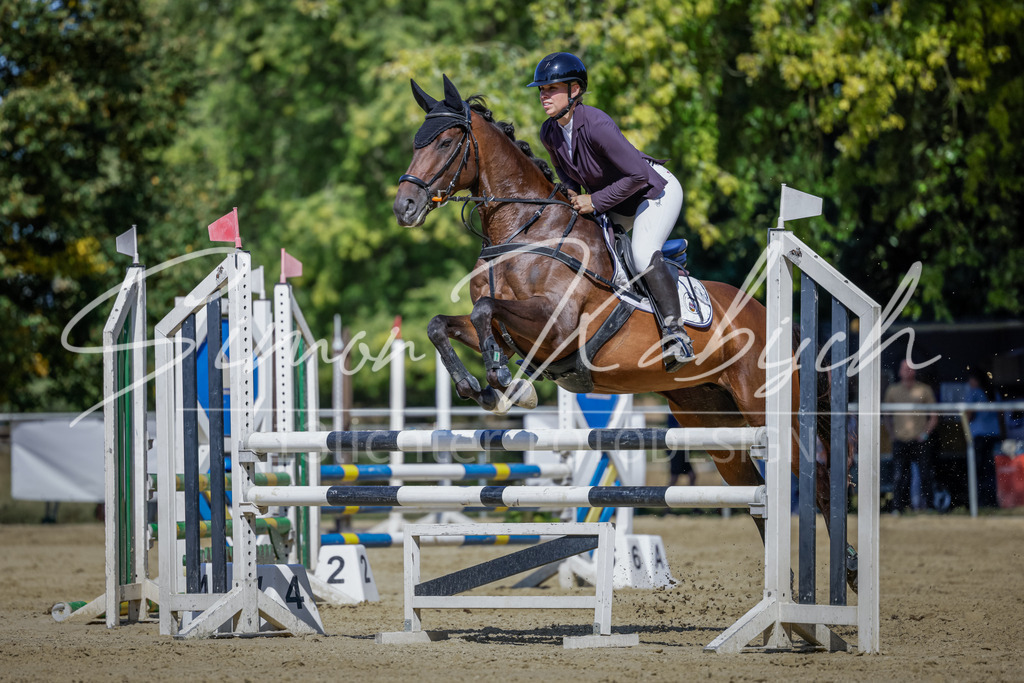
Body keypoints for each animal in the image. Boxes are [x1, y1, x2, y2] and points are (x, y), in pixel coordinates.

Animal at [393, 75, 857, 592]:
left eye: (446, 143)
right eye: (416, 144)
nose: (404, 207)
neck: (526, 230)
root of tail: (770, 318)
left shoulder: (556, 327)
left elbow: (483, 308)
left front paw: (502, 380)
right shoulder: (514, 328)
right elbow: (445, 323)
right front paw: (480, 387)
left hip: (769, 410)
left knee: (817, 475)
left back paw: (846, 574)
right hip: (710, 417)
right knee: (752, 489)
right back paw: (789, 595)